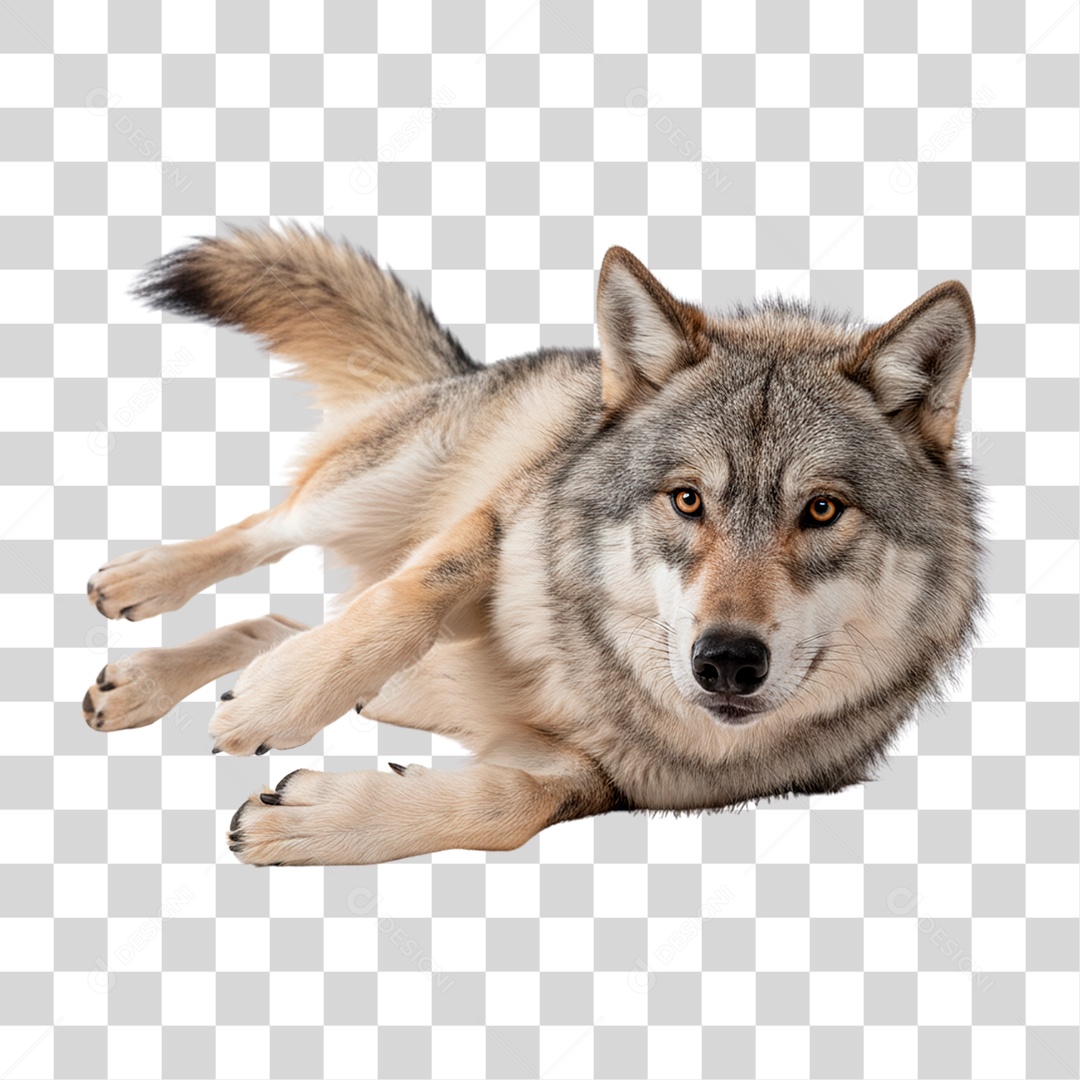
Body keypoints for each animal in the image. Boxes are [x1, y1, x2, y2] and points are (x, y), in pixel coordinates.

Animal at [83, 227, 984, 865]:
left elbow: (507, 808)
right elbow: (409, 597)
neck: (600, 673)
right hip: (361, 495)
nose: (727, 661)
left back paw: (145, 682)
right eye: (687, 500)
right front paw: (279, 702)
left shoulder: (597, 778)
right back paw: (140, 592)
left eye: (823, 510)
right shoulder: (499, 520)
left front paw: (307, 820)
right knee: (268, 537)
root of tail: (475, 367)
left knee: (279, 621)